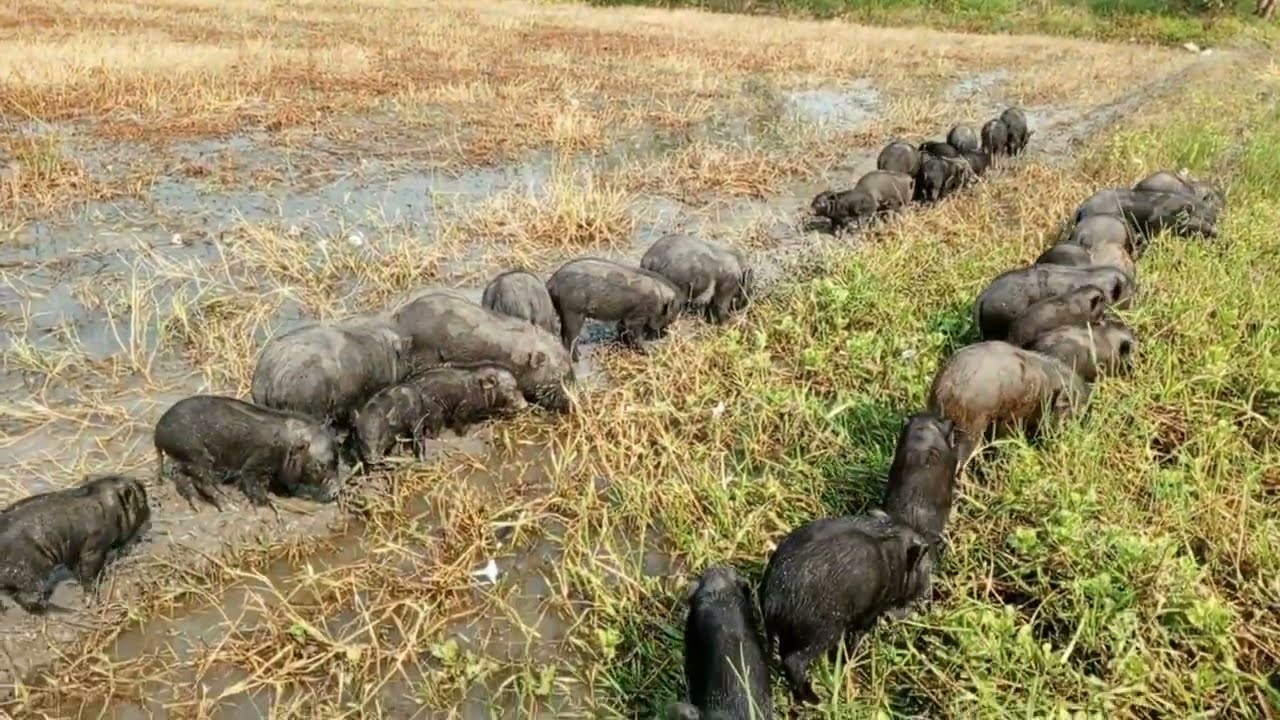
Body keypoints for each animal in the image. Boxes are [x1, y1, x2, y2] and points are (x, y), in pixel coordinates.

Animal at [0, 475, 150, 614]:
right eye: (142, 500)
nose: (149, 514)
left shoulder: (73, 549)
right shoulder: (93, 545)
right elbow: (88, 571)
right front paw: (91, 601)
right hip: (30, 570)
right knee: (27, 598)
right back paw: (67, 610)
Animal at [154, 394, 341, 511]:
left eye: (337, 462)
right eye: (320, 466)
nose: (337, 491)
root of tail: (157, 433)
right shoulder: (259, 460)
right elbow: (252, 479)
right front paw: (269, 503)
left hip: (184, 457)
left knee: (182, 478)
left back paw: (198, 507)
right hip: (195, 455)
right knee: (203, 481)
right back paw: (230, 506)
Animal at [351, 362, 527, 464]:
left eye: (517, 385)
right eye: (510, 389)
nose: (525, 405)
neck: (478, 391)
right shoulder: (462, 409)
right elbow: (461, 425)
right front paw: (465, 435)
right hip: (433, 414)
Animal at [545, 257, 682, 361]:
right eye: (670, 317)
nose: (663, 336)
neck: (658, 299)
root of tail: (551, 282)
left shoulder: (625, 316)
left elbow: (622, 328)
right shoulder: (637, 316)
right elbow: (635, 334)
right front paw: (649, 352)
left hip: (563, 311)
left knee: (563, 334)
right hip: (573, 312)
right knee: (571, 336)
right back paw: (578, 358)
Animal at [760, 511, 934, 705]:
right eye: (927, 568)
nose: (928, 595)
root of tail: (772, 602)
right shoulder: (869, 612)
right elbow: (856, 639)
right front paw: (852, 660)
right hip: (821, 631)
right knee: (793, 662)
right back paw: (816, 700)